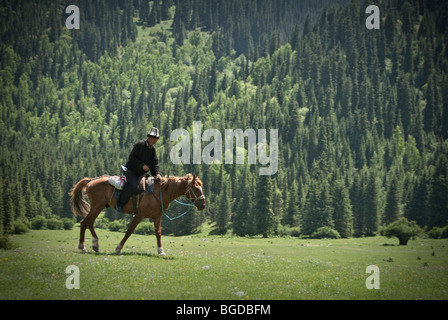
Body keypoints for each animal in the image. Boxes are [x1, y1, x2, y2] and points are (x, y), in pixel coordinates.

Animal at [69, 174, 206, 256]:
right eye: (196, 188)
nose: (203, 204)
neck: (160, 192)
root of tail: (92, 180)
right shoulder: (139, 216)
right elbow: (129, 231)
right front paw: (118, 248)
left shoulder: (157, 217)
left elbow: (158, 233)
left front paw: (161, 251)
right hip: (98, 206)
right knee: (89, 222)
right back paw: (92, 244)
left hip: (96, 207)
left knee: (84, 223)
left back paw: (84, 246)